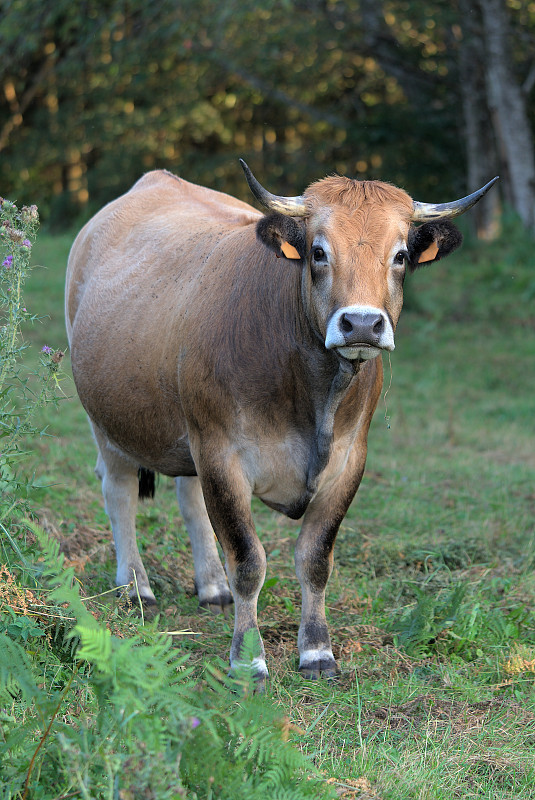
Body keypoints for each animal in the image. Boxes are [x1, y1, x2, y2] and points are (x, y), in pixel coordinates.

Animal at [66, 162, 498, 680]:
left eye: (399, 256)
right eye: (318, 251)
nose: (361, 324)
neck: (313, 396)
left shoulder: (348, 461)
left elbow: (315, 559)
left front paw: (316, 651)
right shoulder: (222, 454)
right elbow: (248, 559)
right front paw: (247, 658)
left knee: (188, 498)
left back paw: (212, 586)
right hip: (108, 422)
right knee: (120, 492)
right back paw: (135, 588)